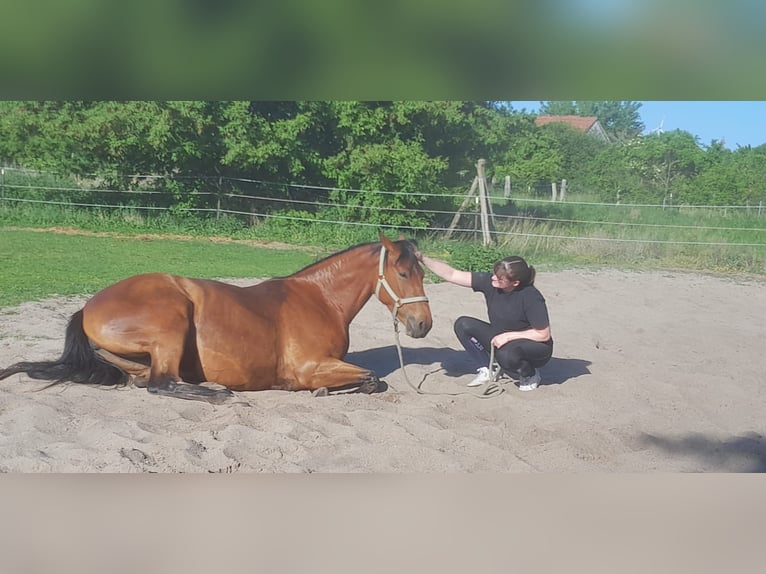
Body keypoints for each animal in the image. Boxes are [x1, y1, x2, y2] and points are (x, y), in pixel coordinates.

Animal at [0, 234, 432, 404]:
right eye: (403, 272)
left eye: (424, 273)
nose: (423, 324)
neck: (319, 299)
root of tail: (89, 306)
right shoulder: (310, 366)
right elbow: (372, 379)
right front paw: (321, 390)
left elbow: (372, 380)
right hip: (172, 322)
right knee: (161, 384)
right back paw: (217, 392)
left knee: (146, 380)